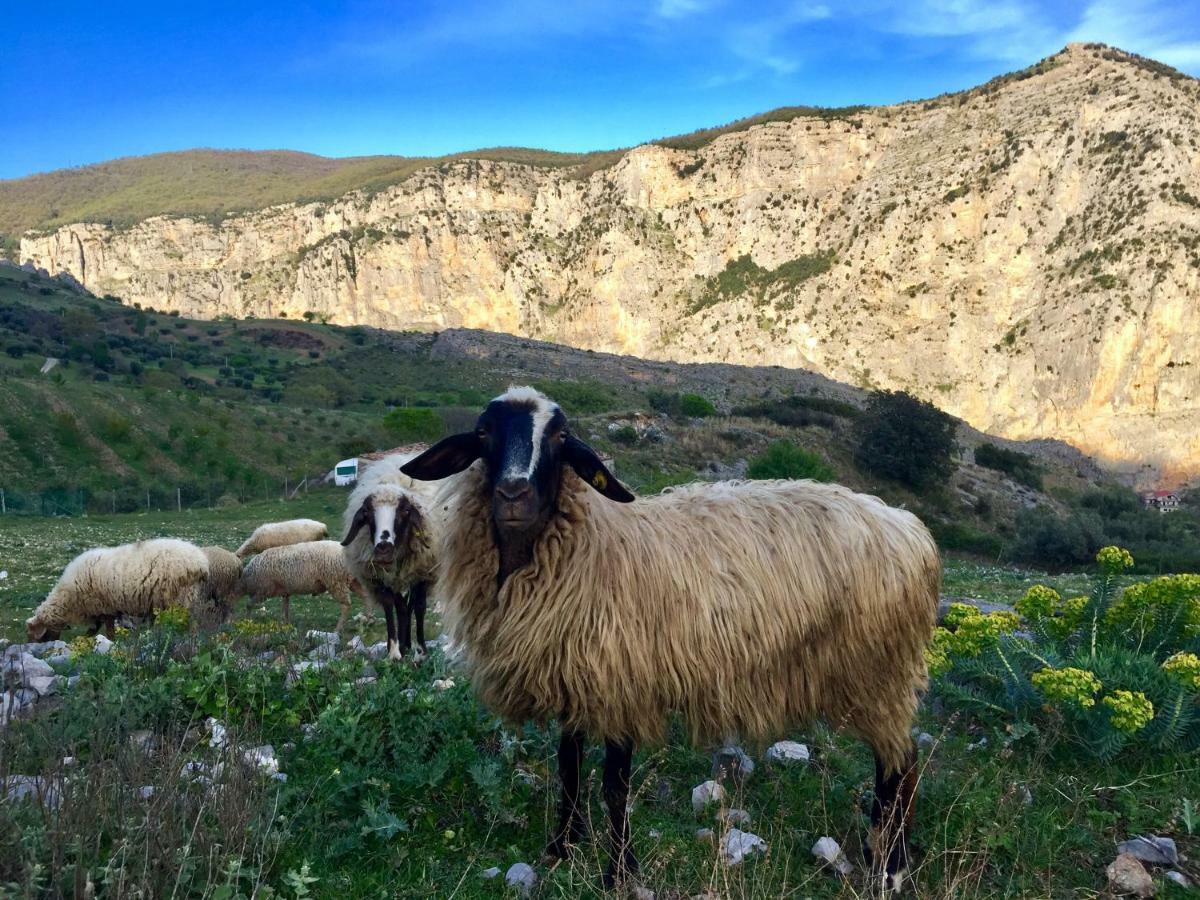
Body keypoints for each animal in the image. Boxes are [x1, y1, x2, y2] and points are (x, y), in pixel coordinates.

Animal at [25, 540, 210, 643]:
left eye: (33, 634)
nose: (33, 647)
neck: (68, 598)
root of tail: (201, 562)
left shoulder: (104, 608)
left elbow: (108, 631)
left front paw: (109, 642)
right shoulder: (99, 611)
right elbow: (93, 631)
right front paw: (84, 640)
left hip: (181, 597)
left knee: (192, 623)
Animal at [340, 458, 439, 662]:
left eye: (406, 511)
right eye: (367, 513)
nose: (383, 548)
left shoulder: (423, 573)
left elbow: (420, 607)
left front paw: (421, 651)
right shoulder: (379, 578)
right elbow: (389, 606)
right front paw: (394, 651)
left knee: (411, 605)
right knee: (402, 607)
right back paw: (404, 645)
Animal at [405, 388, 945, 897]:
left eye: (559, 437)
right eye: (483, 432)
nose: (514, 493)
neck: (588, 545)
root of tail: (909, 527)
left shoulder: (623, 682)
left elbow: (613, 785)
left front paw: (620, 871)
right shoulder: (575, 678)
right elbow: (569, 768)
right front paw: (563, 846)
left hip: (880, 671)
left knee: (901, 766)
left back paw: (891, 869)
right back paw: (877, 852)